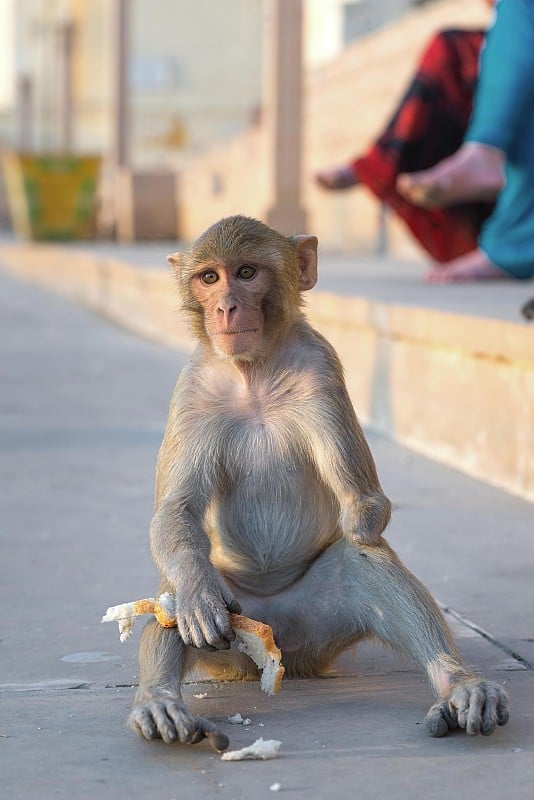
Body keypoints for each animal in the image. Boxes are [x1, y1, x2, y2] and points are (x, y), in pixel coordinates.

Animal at [129, 216, 510, 752]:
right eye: (209, 278)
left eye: (246, 273)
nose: (226, 307)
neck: (254, 374)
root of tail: (285, 648)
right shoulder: (192, 392)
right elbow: (176, 512)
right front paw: (199, 596)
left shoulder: (321, 370)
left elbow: (368, 510)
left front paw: (363, 516)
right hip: (237, 631)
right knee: (172, 592)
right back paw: (160, 700)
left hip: (318, 622)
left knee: (362, 562)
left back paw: (458, 685)